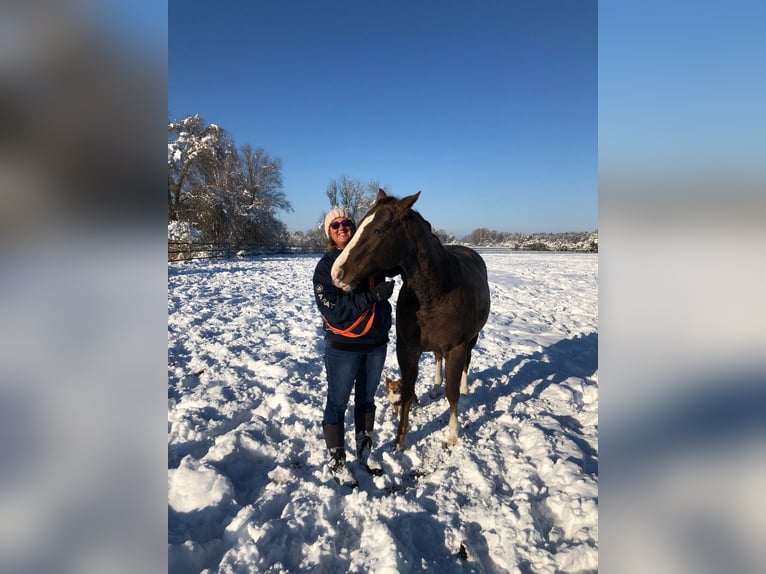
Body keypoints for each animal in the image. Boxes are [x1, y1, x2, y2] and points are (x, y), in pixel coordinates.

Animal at [332, 191, 492, 452]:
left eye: (378, 230)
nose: (337, 273)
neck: (434, 293)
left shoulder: (456, 348)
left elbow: (452, 393)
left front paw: (452, 435)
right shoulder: (407, 349)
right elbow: (407, 391)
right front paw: (400, 440)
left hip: (472, 338)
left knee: (466, 363)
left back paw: (465, 388)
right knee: (437, 358)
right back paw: (435, 388)